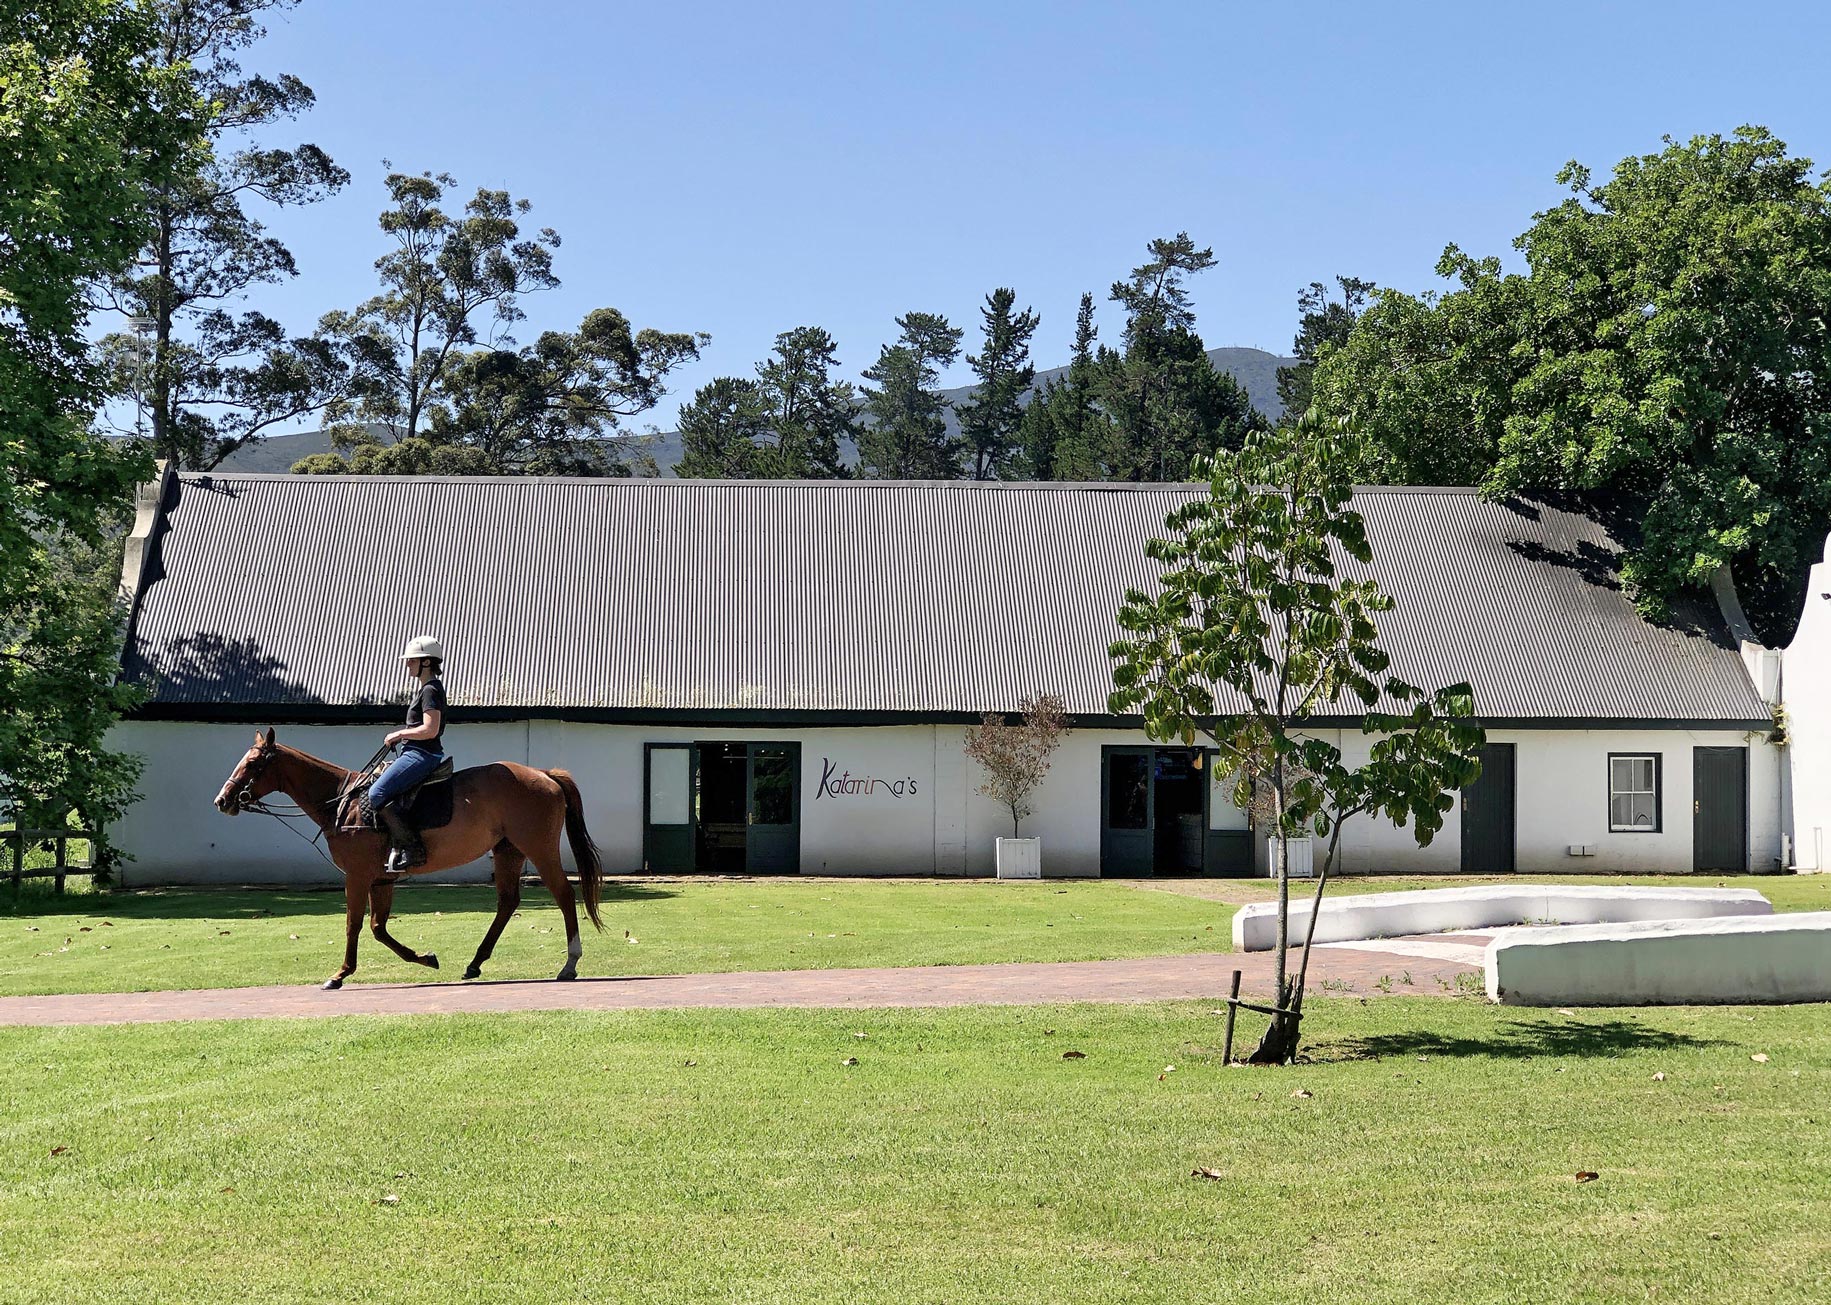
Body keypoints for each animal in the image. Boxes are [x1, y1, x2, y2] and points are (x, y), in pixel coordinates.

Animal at [214, 729, 603, 989]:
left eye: (253, 763)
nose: (223, 800)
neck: (344, 802)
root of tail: (544, 775)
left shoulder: (357, 876)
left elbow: (354, 924)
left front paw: (340, 974)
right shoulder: (381, 879)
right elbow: (378, 928)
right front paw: (426, 959)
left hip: (538, 848)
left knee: (564, 895)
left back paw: (569, 963)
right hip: (508, 851)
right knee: (507, 903)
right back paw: (475, 963)